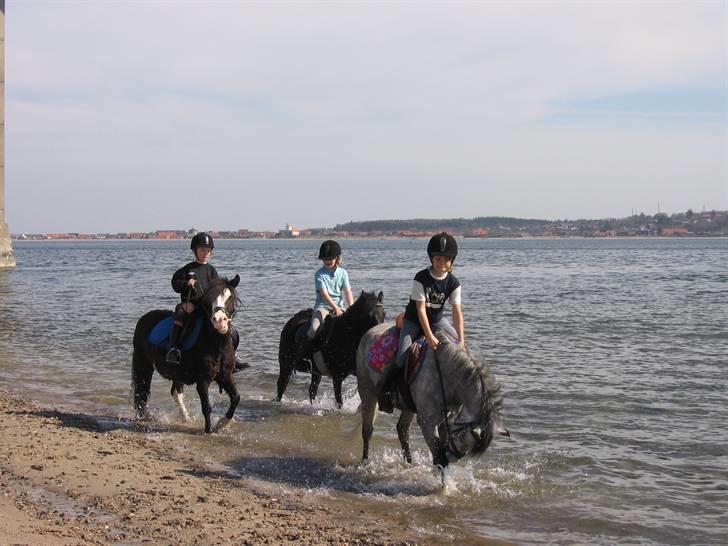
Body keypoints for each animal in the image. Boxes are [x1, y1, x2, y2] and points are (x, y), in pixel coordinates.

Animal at [133, 274, 242, 432]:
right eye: (210, 299)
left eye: (230, 297)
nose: (219, 321)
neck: (216, 343)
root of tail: (144, 318)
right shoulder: (202, 380)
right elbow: (206, 407)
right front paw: (209, 431)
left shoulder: (226, 376)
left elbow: (236, 398)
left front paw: (223, 423)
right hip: (144, 365)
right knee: (142, 392)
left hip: (176, 372)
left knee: (175, 392)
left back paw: (186, 418)